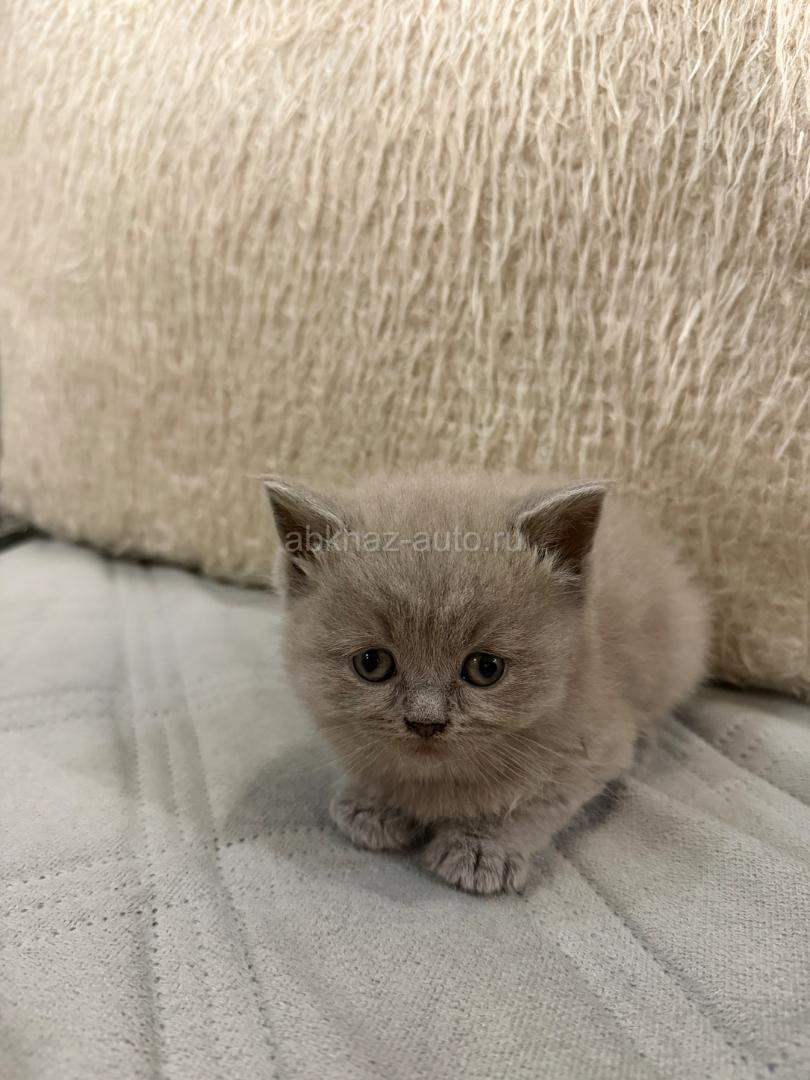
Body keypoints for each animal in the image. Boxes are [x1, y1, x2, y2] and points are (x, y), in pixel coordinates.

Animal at [263, 469, 709, 895]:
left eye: (486, 668)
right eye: (372, 663)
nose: (426, 722)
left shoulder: (594, 743)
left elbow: (538, 801)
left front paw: (482, 849)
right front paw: (374, 803)